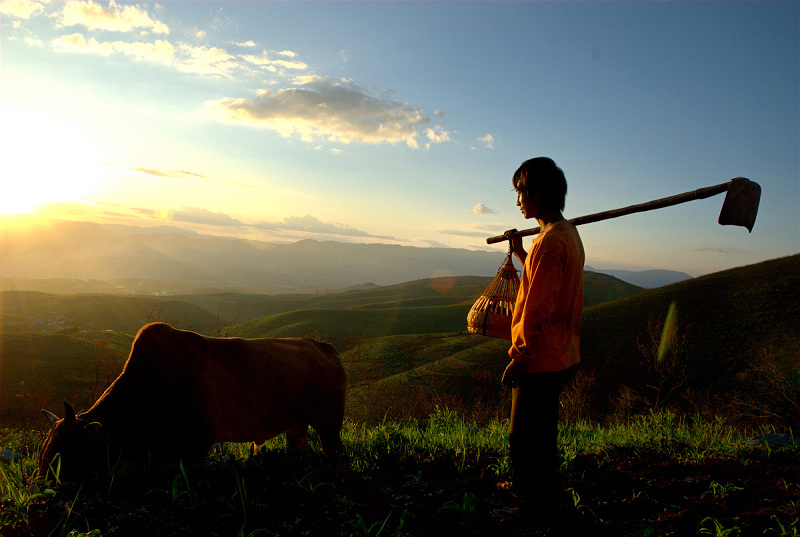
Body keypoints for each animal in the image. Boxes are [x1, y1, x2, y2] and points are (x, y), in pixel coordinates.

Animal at [39, 320, 346, 480]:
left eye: (67, 451)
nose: (42, 484)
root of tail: (325, 348)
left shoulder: (198, 445)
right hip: (297, 425)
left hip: (329, 425)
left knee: (334, 452)